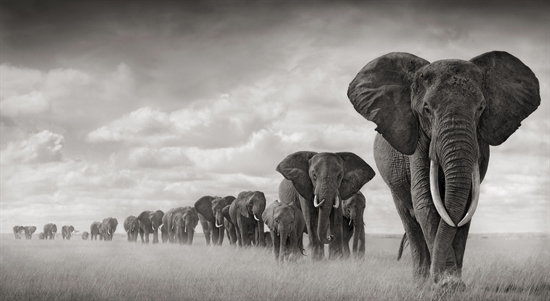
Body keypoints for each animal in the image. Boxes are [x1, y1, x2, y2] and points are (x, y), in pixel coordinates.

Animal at [352, 50, 540, 284]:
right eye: (426, 109)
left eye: (481, 108)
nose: (437, 277)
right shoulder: (418, 140)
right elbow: (426, 202)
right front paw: (445, 284)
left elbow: (466, 205)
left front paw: (453, 283)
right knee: (410, 222)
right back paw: (420, 283)